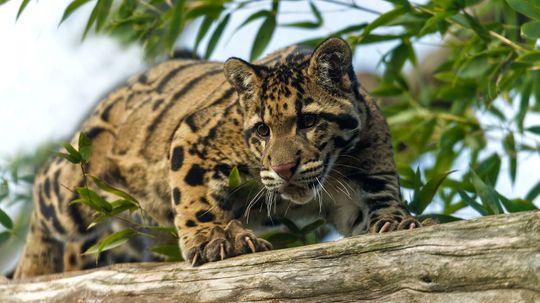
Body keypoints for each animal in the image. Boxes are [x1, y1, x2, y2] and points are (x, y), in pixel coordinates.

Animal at [11, 36, 418, 280]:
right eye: (262, 131)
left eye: (308, 121)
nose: (284, 168)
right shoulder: (192, 136)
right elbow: (196, 198)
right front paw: (216, 239)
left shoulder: (366, 181)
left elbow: (376, 209)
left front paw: (396, 221)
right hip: (79, 189)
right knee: (44, 188)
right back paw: (35, 269)